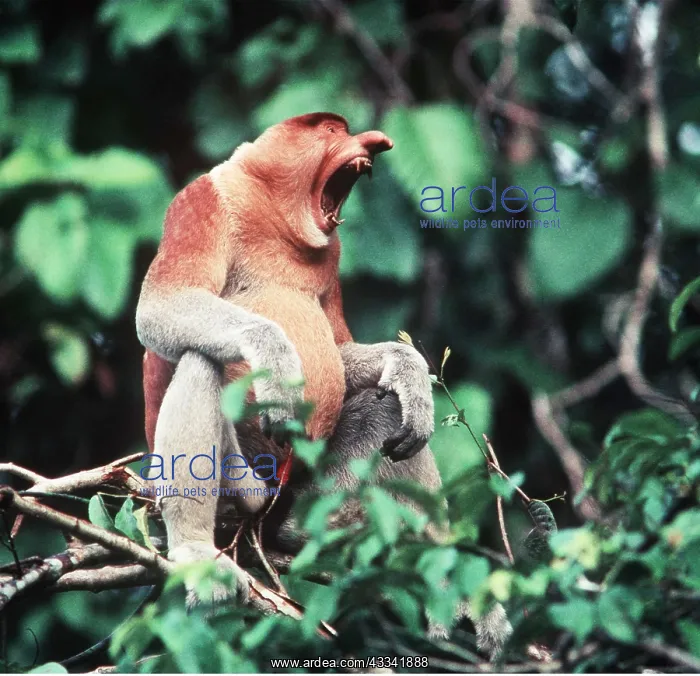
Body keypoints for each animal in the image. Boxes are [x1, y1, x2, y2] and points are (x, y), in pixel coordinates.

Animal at [136, 112, 511, 658]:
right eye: (329, 130)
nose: (374, 141)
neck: (273, 212)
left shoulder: (331, 255)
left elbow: (339, 350)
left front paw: (408, 369)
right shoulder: (200, 201)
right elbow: (161, 306)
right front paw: (274, 356)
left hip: (307, 488)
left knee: (388, 416)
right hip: (245, 487)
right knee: (201, 358)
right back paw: (196, 552)